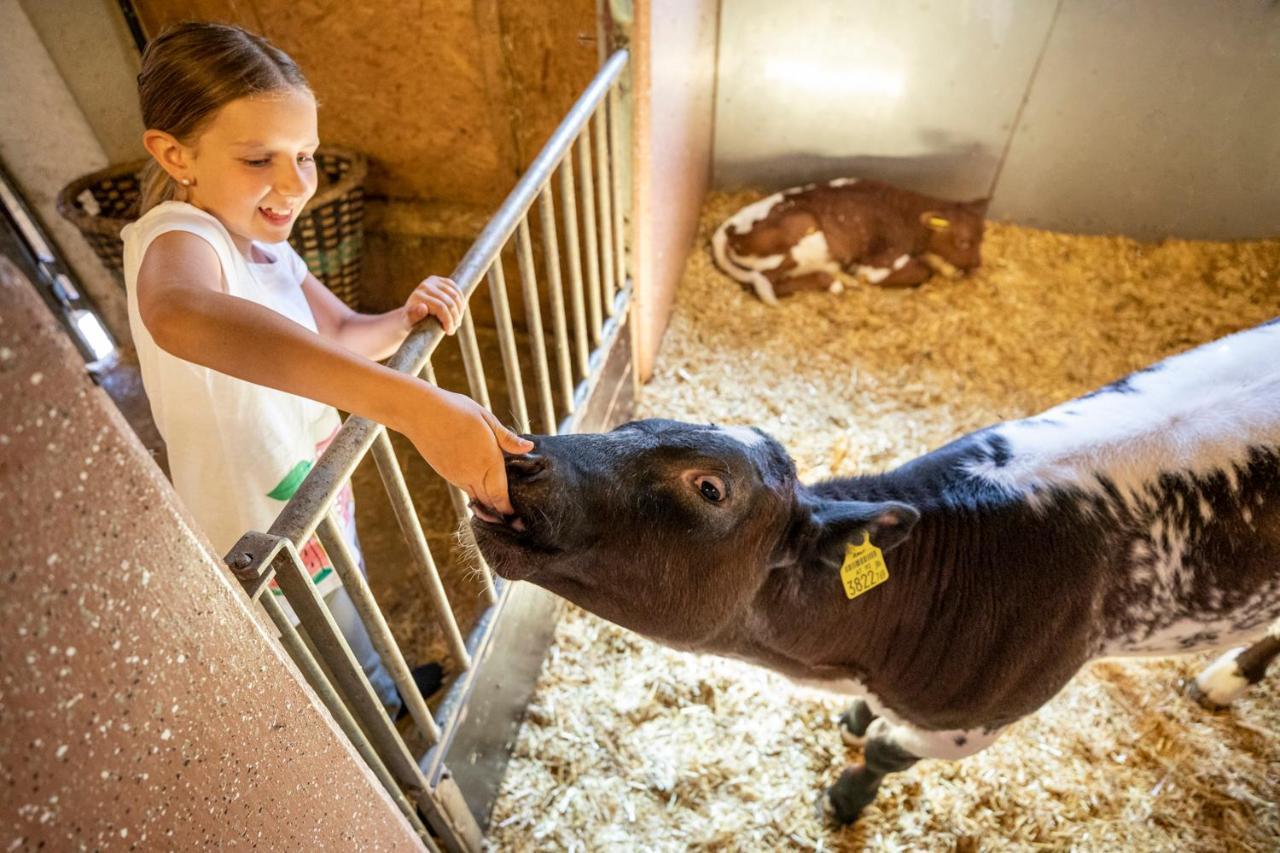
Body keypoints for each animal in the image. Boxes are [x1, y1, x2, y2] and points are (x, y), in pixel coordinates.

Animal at [471, 315, 1280, 819]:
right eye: (632, 424)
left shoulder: (974, 721)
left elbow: (889, 750)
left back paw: (1225, 678)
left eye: (709, 488)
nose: (518, 458)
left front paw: (845, 796)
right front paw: (856, 718)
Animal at [711, 178, 988, 303]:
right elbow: (921, 272)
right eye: (963, 242)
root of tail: (729, 228)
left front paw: (951, 270)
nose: (976, 265)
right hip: (798, 235)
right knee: (770, 283)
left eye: (982, 237)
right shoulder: (878, 262)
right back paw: (837, 282)